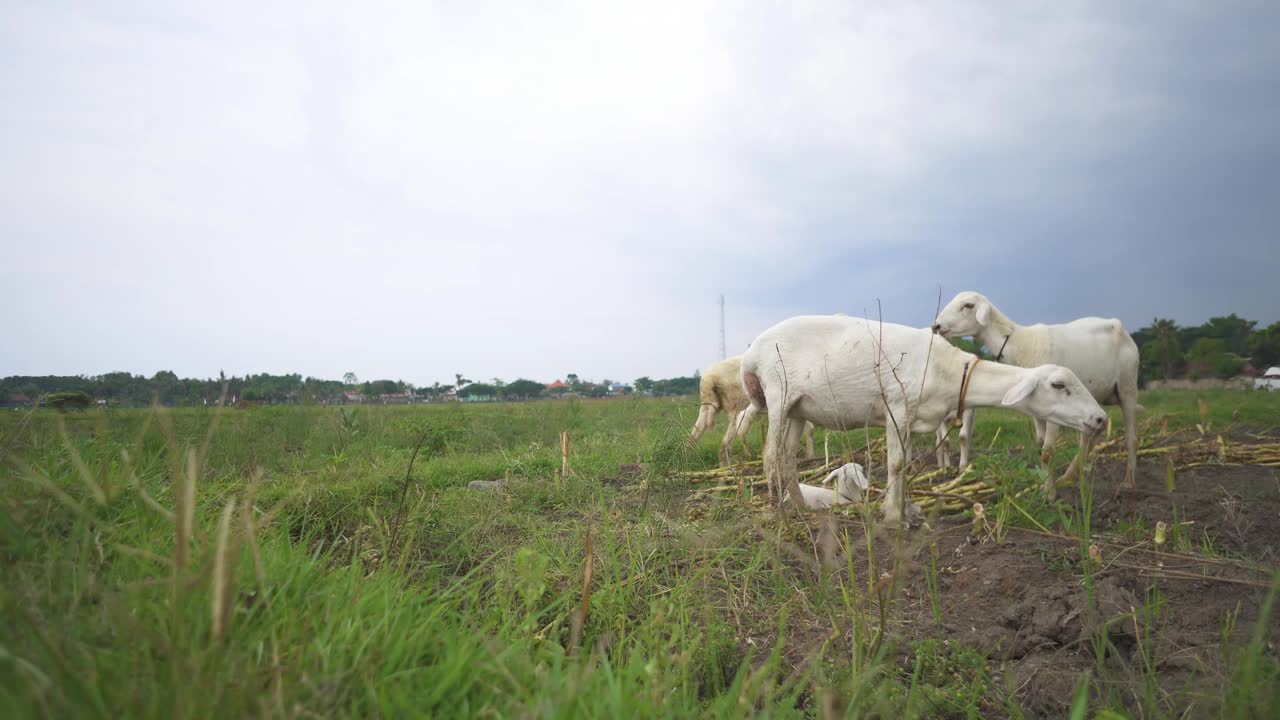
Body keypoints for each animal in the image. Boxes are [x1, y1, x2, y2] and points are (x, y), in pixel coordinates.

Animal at [747, 313, 1105, 520]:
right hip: (778, 393)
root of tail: (752, 351)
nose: (1100, 419)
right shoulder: (897, 408)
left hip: (798, 407)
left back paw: (800, 507)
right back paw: (777, 515)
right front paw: (893, 516)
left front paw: (906, 509)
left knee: (788, 459)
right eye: (1058, 385)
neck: (952, 372)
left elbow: (904, 464)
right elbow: (895, 464)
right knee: (770, 456)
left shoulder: (911, 418)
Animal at [931, 288, 1141, 489]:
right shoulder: (1036, 406)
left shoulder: (1055, 406)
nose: (936, 326)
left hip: (1127, 386)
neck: (1019, 342)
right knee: (1089, 435)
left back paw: (1128, 481)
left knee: (1131, 438)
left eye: (968, 305)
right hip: (1091, 397)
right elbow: (1040, 445)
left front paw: (1049, 492)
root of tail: (1119, 326)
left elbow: (1048, 451)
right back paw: (1070, 476)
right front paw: (1043, 481)